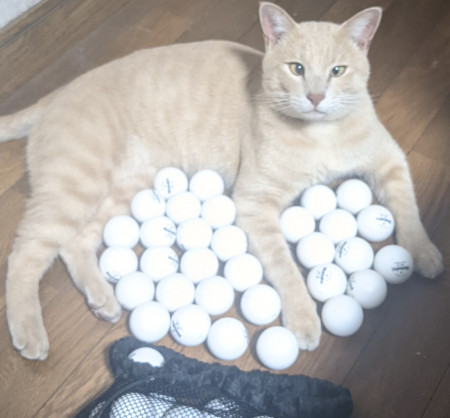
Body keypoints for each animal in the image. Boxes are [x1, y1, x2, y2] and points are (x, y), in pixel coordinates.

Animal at [0, 2, 443, 360]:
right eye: (296, 68)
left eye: (338, 70)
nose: (316, 97)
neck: (321, 135)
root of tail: (56, 94)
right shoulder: (254, 200)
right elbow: (284, 267)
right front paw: (303, 317)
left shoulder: (390, 159)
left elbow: (408, 209)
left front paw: (424, 253)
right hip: (77, 183)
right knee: (24, 255)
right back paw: (30, 333)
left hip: (122, 187)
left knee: (74, 243)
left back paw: (102, 298)